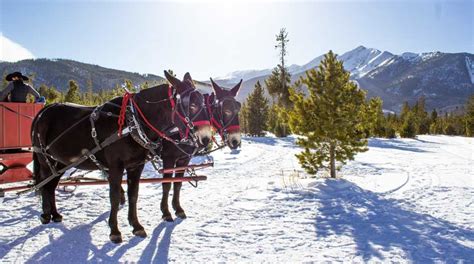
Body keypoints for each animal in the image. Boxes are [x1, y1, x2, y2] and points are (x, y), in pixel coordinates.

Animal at [32, 71, 211, 242]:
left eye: (204, 103)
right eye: (192, 105)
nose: (206, 138)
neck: (132, 123)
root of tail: (42, 112)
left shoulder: (136, 165)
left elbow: (134, 195)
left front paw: (136, 225)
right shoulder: (116, 166)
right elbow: (115, 197)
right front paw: (115, 231)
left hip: (59, 163)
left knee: (51, 186)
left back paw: (55, 214)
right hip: (46, 161)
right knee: (44, 184)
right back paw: (46, 215)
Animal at [159, 77, 243, 222]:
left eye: (238, 108)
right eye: (226, 110)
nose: (235, 140)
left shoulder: (184, 159)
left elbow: (178, 183)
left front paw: (178, 209)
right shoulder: (168, 158)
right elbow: (166, 184)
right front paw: (166, 212)